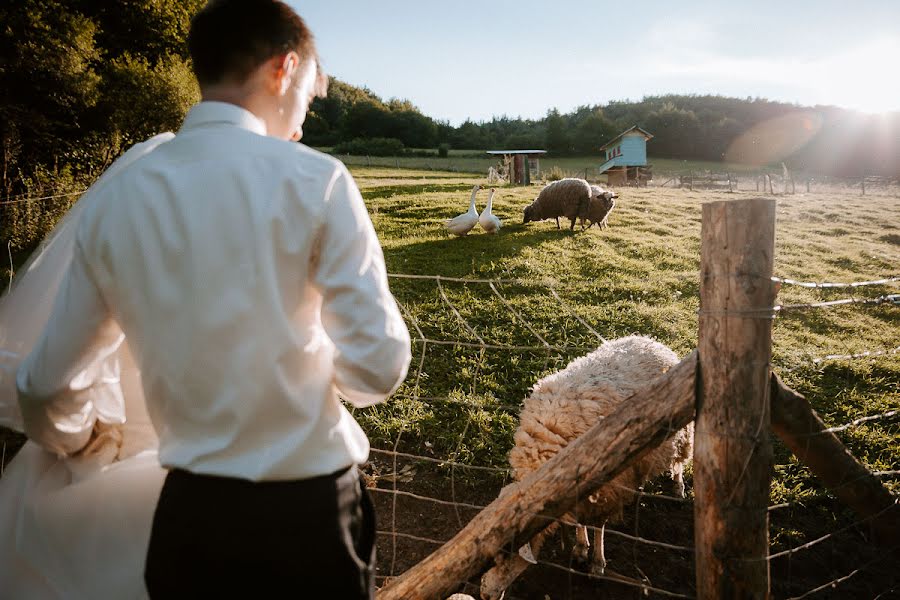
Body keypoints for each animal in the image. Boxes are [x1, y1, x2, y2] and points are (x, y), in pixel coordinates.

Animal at [482, 336, 692, 600]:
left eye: (506, 561)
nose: (485, 595)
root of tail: (650, 341)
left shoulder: (605, 488)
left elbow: (598, 525)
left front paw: (597, 564)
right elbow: (579, 521)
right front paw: (581, 548)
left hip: (681, 430)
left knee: (680, 460)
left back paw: (678, 486)